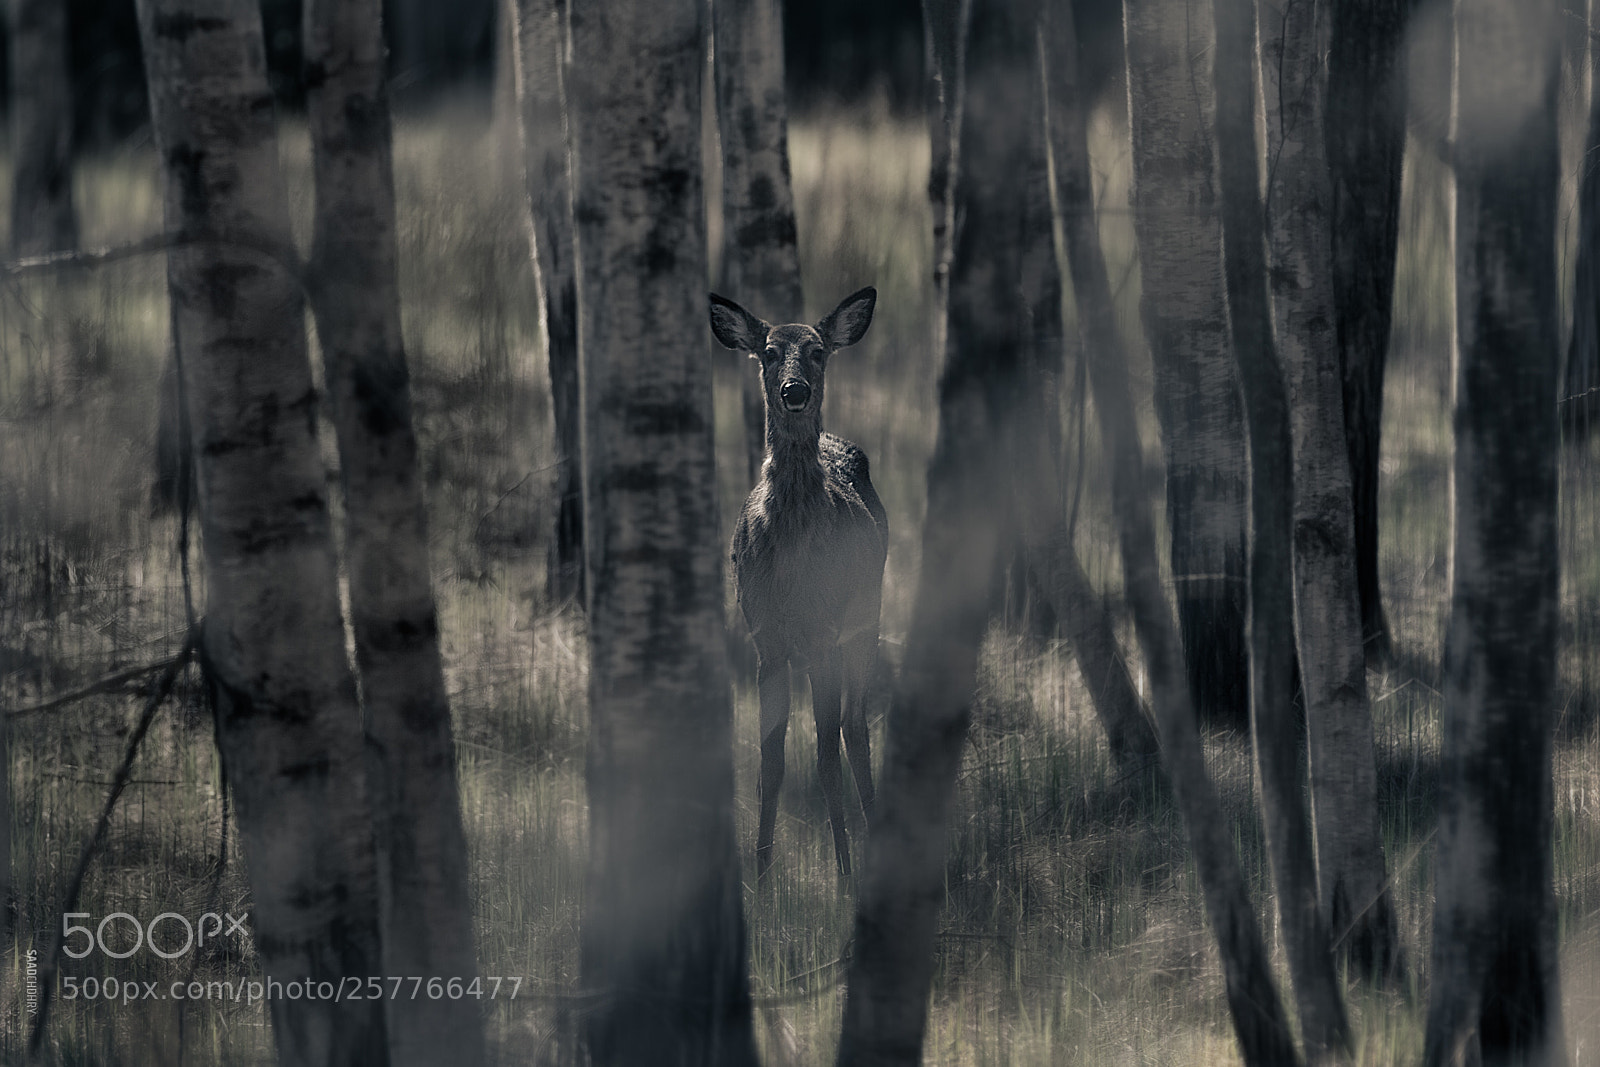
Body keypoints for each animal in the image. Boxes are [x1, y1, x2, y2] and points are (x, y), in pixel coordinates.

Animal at [708, 286, 886, 882]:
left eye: (817, 351)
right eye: (767, 352)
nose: (794, 391)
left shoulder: (826, 633)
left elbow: (825, 755)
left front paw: (846, 877)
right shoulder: (766, 639)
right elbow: (772, 758)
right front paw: (761, 877)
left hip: (866, 622)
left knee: (854, 728)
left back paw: (874, 839)